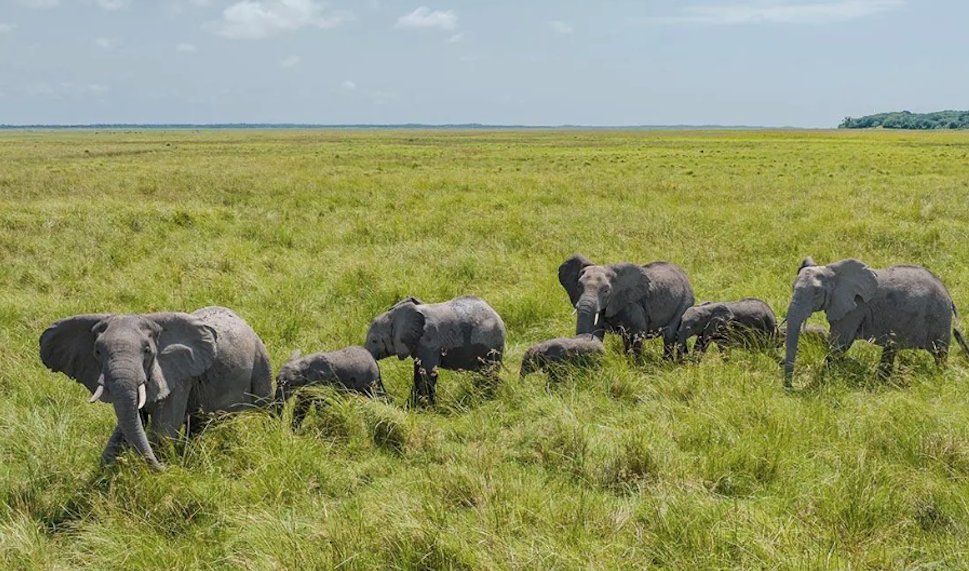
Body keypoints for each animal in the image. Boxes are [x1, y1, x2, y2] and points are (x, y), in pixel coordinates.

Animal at [39, 306, 272, 471]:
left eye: (147, 350)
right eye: (97, 351)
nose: (168, 469)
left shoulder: (179, 377)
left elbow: (163, 431)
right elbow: (130, 425)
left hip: (261, 359)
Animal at [364, 296, 506, 406]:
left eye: (374, 341)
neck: (395, 315)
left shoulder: (429, 343)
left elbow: (427, 374)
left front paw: (423, 408)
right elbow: (419, 372)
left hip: (492, 344)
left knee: (489, 372)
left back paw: (486, 398)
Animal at [558, 254, 694, 359]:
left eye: (606, 291)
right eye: (578, 286)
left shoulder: (632, 305)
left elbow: (638, 333)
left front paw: (634, 365)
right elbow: (594, 332)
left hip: (685, 302)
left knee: (669, 336)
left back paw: (666, 363)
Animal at [783, 257, 969, 386]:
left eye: (816, 292)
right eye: (792, 287)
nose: (789, 388)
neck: (833, 271)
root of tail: (949, 297)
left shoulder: (855, 307)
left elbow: (839, 344)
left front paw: (823, 380)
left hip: (939, 319)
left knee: (940, 354)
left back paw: (940, 378)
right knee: (891, 348)